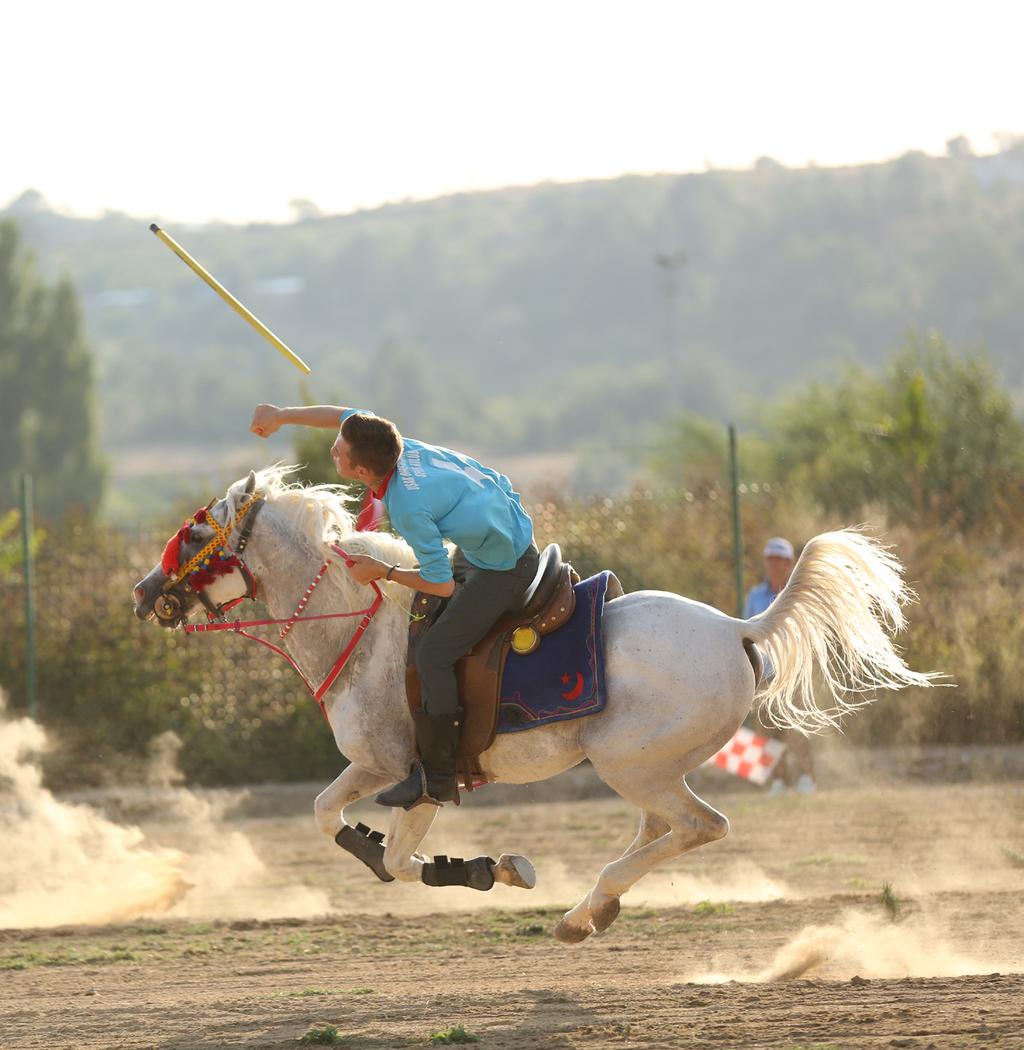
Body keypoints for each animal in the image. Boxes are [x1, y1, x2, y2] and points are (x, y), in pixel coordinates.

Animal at [133, 468, 936, 944]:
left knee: (702, 826)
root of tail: (738, 628)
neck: (364, 623)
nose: (144, 593)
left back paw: (589, 907)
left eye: (197, 531)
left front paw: (479, 868)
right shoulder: (397, 777)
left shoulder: (401, 771)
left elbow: (374, 844)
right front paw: (481, 866)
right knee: (662, 829)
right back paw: (594, 908)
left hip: (630, 765)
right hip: (650, 769)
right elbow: (349, 828)